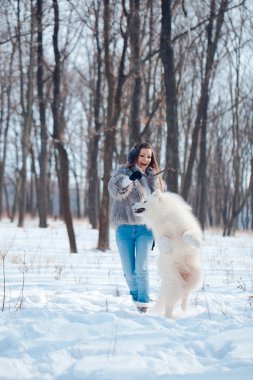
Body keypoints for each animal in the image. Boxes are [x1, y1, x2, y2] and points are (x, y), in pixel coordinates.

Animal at [133, 189, 203, 318]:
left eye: (145, 201)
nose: (133, 204)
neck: (163, 217)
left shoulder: (190, 228)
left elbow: (186, 234)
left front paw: (195, 243)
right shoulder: (159, 236)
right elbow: (163, 240)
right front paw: (169, 249)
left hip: (196, 276)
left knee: (186, 294)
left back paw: (183, 308)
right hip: (174, 286)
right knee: (171, 304)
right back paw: (169, 317)